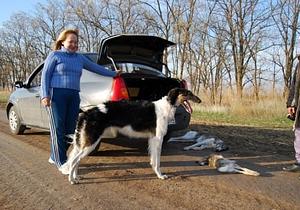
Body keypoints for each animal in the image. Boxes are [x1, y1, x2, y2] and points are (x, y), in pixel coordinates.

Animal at [66, 88, 202, 183]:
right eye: (188, 93)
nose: (200, 100)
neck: (167, 106)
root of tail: (87, 112)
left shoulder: (153, 140)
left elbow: (153, 160)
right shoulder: (158, 139)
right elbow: (157, 162)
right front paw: (160, 175)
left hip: (85, 144)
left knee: (76, 160)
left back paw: (76, 177)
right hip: (91, 143)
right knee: (74, 161)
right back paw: (72, 180)